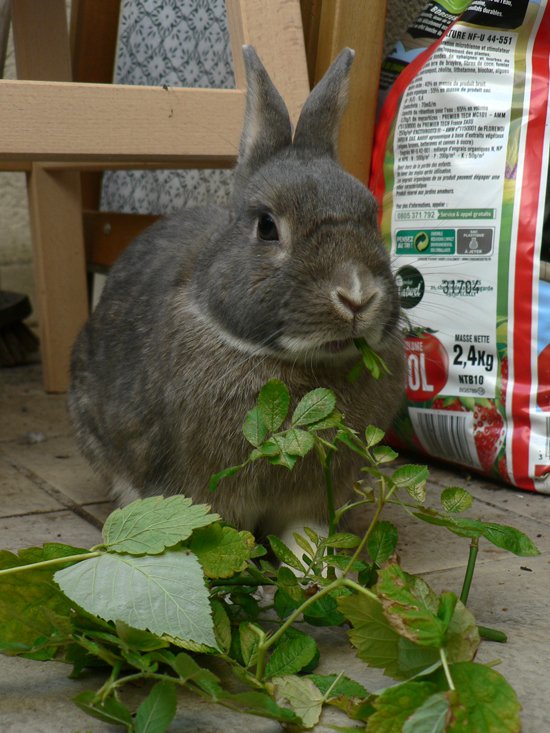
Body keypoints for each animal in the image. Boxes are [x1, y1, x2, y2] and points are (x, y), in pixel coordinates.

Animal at [68, 45, 406, 556]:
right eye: (267, 226)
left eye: (371, 214)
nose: (356, 296)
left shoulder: (312, 502)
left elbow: (306, 538)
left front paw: (315, 565)